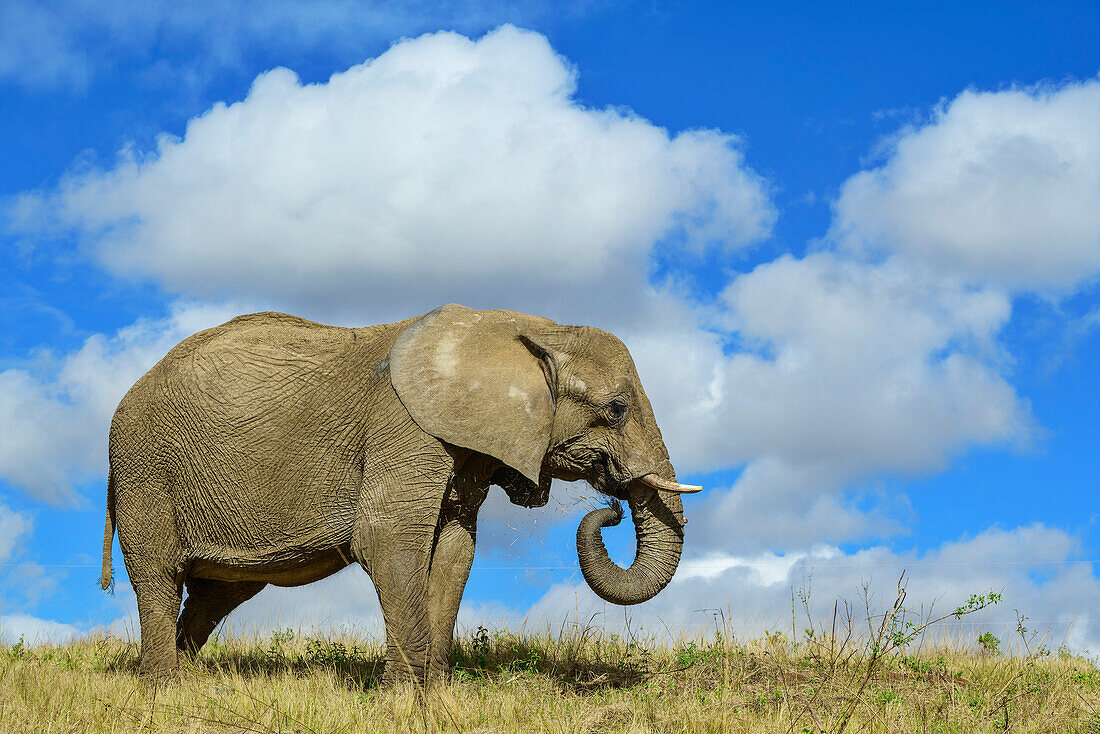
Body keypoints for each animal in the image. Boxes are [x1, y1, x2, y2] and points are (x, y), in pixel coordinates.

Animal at [105, 303, 704, 682]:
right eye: (617, 409)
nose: (611, 510)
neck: (526, 328)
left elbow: (456, 550)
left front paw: (433, 694)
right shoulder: (404, 426)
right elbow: (388, 541)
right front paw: (402, 699)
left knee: (216, 594)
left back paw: (190, 680)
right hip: (144, 468)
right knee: (160, 577)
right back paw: (163, 691)